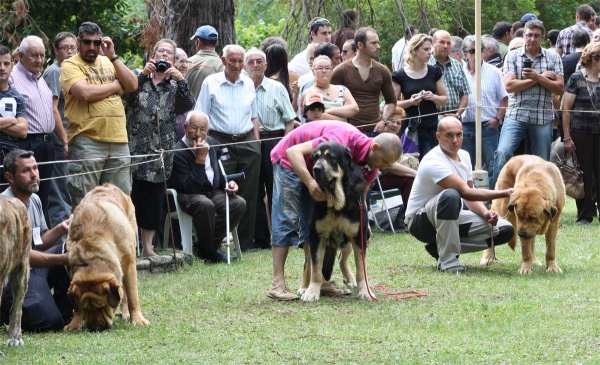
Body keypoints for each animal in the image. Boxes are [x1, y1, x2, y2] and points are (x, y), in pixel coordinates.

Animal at [63, 183, 149, 328]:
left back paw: (126, 313)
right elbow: (75, 306)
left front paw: (138, 319)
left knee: (125, 293)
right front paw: (75, 323)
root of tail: (108, 185)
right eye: (85, 308)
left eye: (102, 307)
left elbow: (132, 295)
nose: (94, 328)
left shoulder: (129, 263)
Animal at [298, 141, 370, 300]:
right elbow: (316, 269)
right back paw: (304, 287)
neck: (336, 201)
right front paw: (312, 292)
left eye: (331, 157)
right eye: (316, 157)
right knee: (308, 265)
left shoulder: (358, 237)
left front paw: (365, 291)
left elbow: (361, 269)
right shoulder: (316, 237)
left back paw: (350, 279)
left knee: (342, 259)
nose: (316, 169)